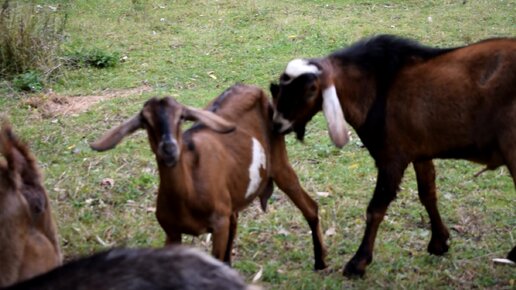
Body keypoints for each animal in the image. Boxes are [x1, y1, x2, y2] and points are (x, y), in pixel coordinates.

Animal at [270, 35, 516, 278]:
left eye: (310, 90)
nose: (277, 125)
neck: (376, 86)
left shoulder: (392, 158)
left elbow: (376, 209)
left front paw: (358, 263)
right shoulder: (419, 151)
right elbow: (428, 194)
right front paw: (439, 242)